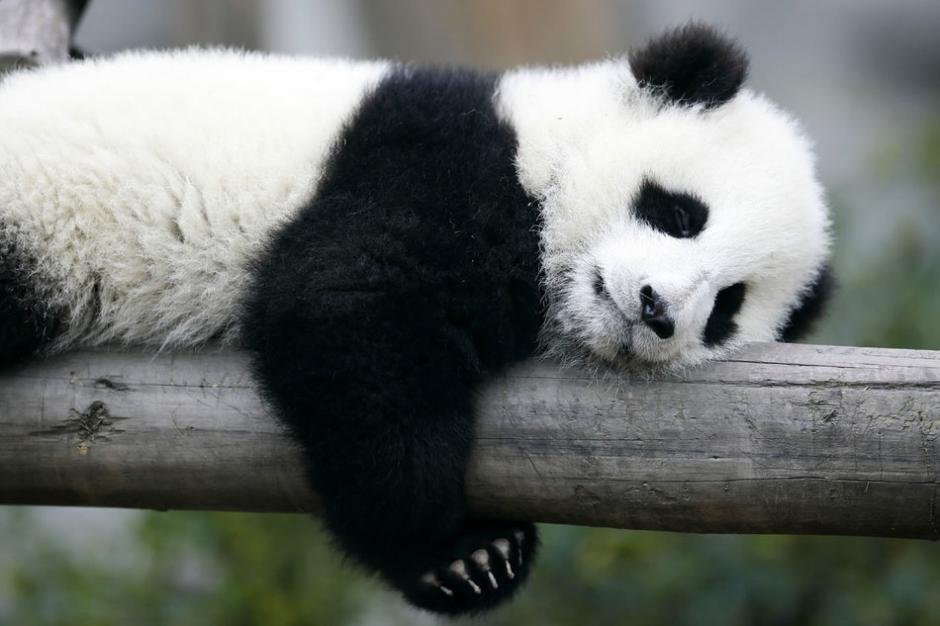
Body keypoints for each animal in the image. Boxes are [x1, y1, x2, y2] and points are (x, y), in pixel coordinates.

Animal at [0, 24, 831, 615]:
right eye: (680, 213)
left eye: (727, 306)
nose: (657, 311)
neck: (546, 150)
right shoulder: (437, 164)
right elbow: (344, 307)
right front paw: (446, 537)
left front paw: (473, 565)